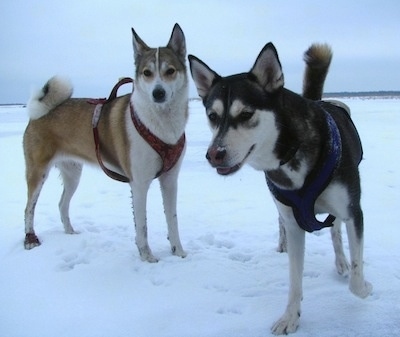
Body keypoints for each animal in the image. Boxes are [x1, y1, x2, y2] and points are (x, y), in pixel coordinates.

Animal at [23, 23, 189, 262]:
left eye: (170, 71)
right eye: (147, 73)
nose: (158, 93)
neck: (161, 123)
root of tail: (42, 110)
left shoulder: (170, 179)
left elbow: (173, 220)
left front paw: (179, 252)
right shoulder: (139, 183)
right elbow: (142, 226)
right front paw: (147, 257)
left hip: (73, 174)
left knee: (62, 203)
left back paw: (70, 232)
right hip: (38, 172)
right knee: (29, 208)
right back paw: (30, 239)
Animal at [189, 42, 374, 334]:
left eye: (246, 114)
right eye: (212, 116)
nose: (214, 154)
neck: (291, 153)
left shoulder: (354, 211)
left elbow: (356, 279)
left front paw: (364, 285)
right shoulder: (293, 221)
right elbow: (294, 280)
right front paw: (291, 317)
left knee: (335, 230)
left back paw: (341, 261)